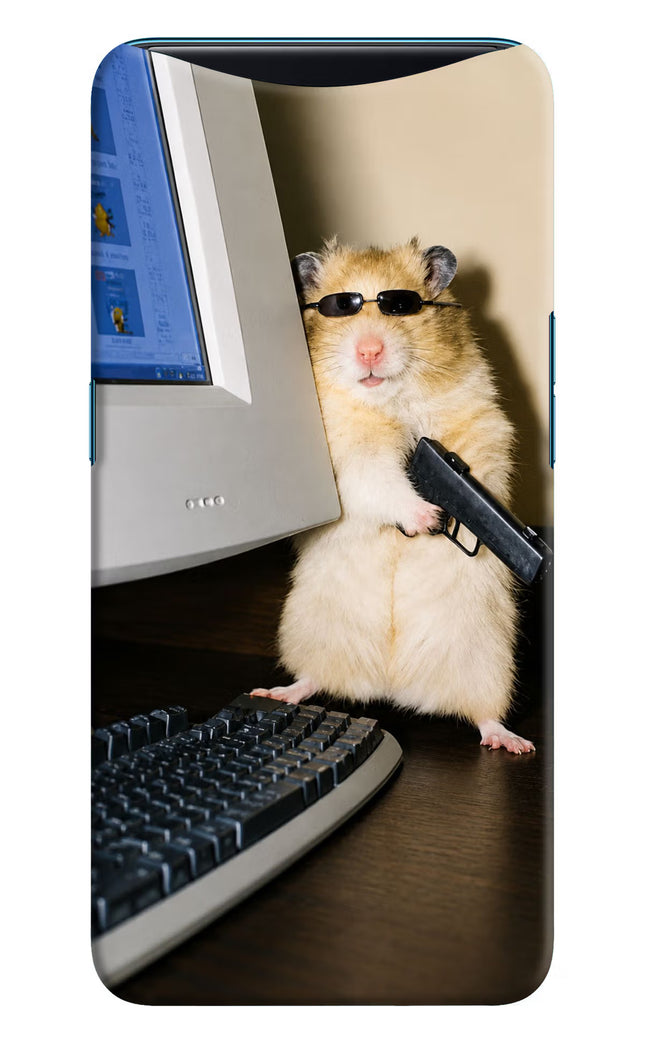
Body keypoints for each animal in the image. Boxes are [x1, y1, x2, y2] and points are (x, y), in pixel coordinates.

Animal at [252, 237, 534, 754]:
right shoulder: (348, 457)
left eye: (400, 306)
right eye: (340, 307)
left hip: (487, 660)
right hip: (311, 632)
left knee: (484, 714)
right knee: (313, 679)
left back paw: (512, 742)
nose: (369, 351)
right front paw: (428, 517)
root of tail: (392, 685)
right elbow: (380, 481)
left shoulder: (481, 425)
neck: (389, 401)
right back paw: (276, 692)